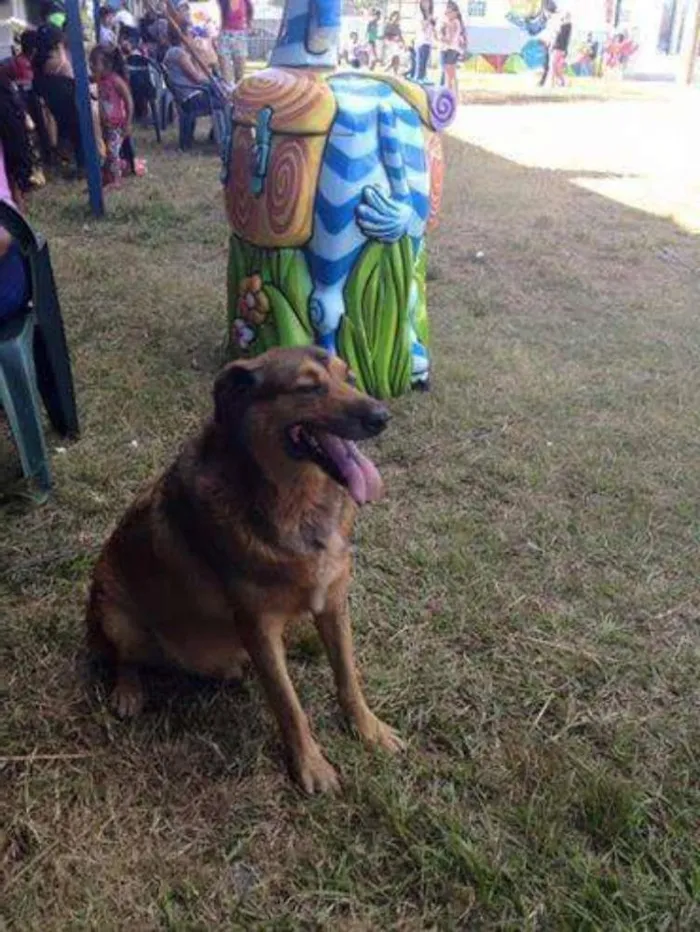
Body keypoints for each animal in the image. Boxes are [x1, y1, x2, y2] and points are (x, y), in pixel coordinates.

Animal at [86, 350, 404, 792]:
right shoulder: (257, 624)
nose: (382, 415)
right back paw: (128, 691)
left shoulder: (333, 601)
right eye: (309, 387)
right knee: (125, 657)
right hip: (113, 611)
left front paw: (367, 728)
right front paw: (311, 765)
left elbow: (348, 677)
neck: (298, 504)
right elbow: (288, 704)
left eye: (351, 378)